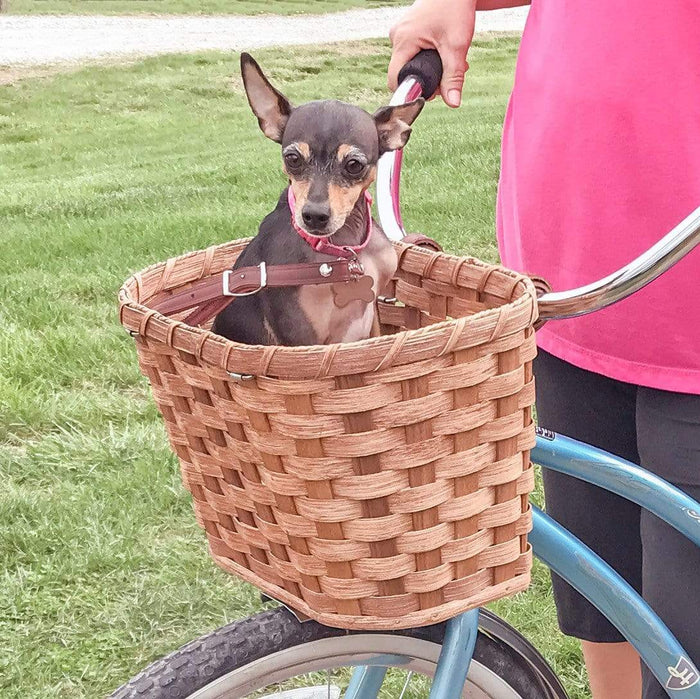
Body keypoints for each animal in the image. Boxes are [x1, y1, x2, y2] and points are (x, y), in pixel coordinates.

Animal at [211, 55, 424, 348]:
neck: (342, 253)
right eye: (292, 158)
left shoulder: (372, 318)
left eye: (354, 165)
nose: (314, 215)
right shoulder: (302, 339)